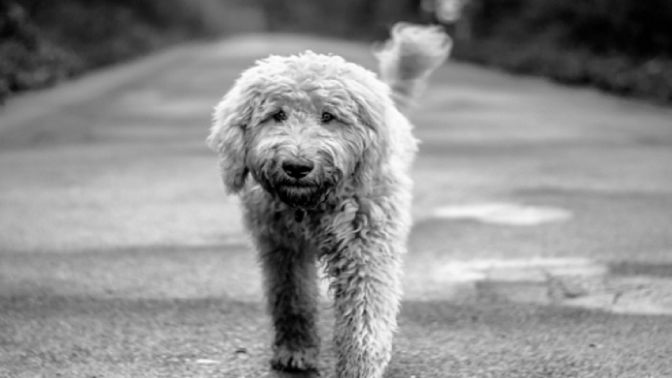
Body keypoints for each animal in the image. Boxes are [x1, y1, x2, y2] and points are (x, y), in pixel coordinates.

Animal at [210, 23, 452, 378]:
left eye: (328, 116)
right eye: (277, 115)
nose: (297, 166)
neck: (311, 205)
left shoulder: (366, 248)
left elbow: (365, 312)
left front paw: (359, 367)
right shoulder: (282, 248)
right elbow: (292, 298)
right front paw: (295, 350)